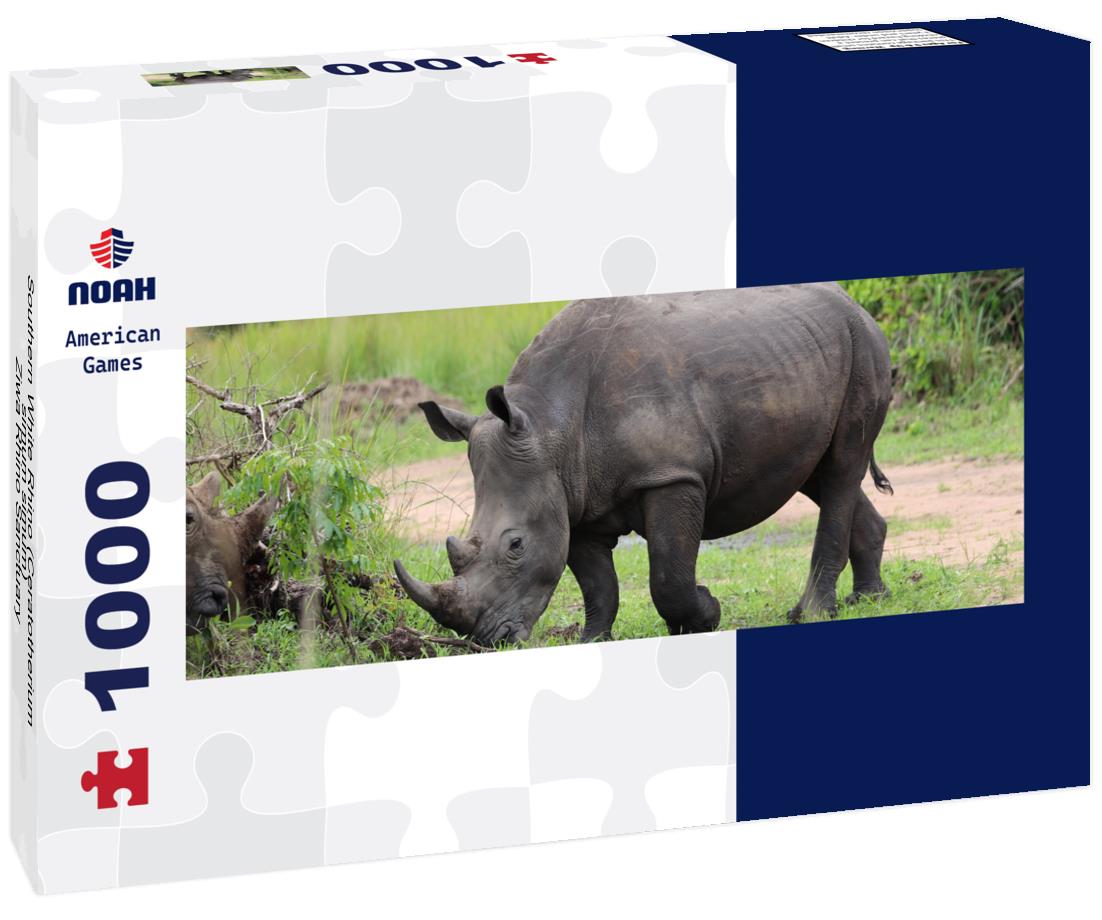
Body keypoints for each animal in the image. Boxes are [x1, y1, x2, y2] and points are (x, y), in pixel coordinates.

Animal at [394, 283, 893, 646]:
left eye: (516, 544)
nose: (487, 639)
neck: (549, 424)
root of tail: (856, 304)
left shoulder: (671, 474)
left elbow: (668, 574)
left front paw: (704, 615)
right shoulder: (574, 495)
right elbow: (597, 583)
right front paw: (593, 640)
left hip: (864, 349)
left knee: (842, 465)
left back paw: (812, 613)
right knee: (819, 474)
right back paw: (869, 598)